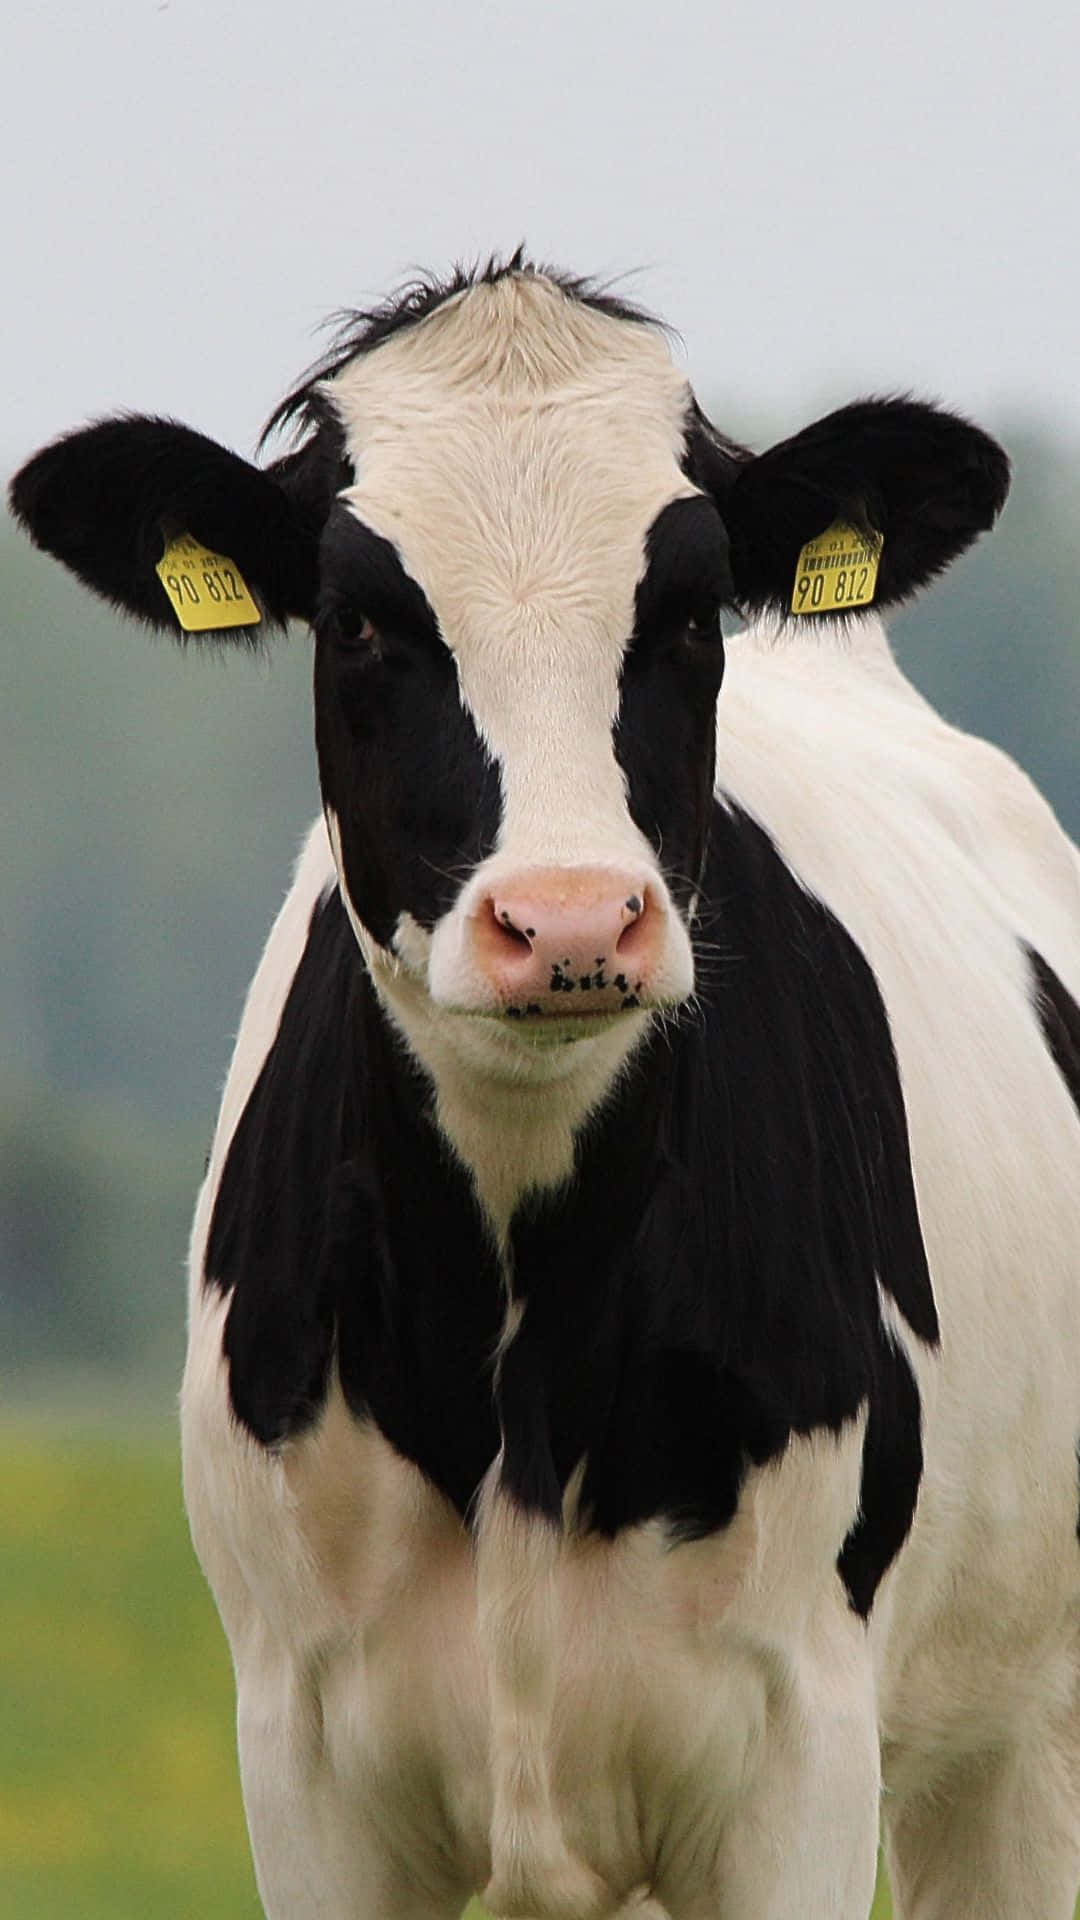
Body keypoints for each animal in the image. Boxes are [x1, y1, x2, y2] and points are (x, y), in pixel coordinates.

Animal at [11, 254, 1080, 1920]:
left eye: (691, 608)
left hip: (1021, 1735)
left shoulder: (802, 1753)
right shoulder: (303, 1764)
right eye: (362, 620)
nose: (571, 920)